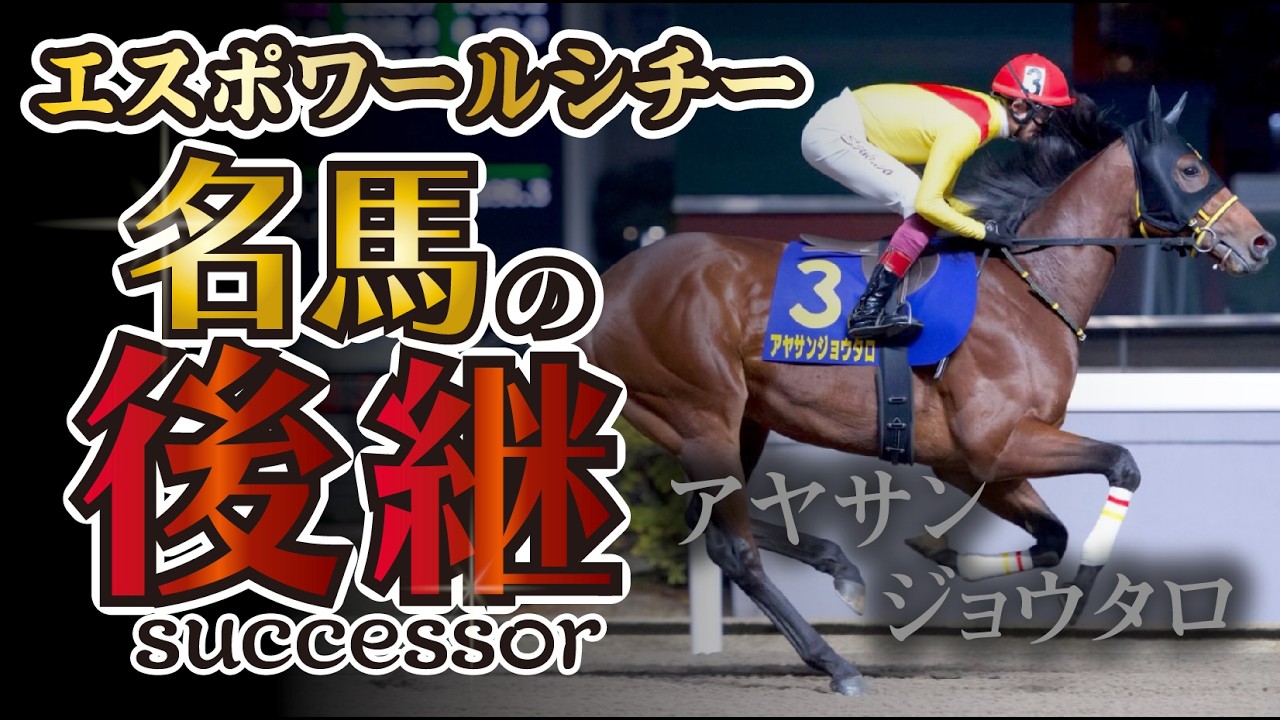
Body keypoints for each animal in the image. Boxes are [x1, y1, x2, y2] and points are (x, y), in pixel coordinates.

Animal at [579, 87, 1275, 696]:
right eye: (1189, 167)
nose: (1261, 241)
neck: (1026, 283)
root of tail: (612, 282)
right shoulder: (998, 441)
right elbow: (1124, 465)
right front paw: (1084, 592)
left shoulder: (972, 462)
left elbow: (1050, 537)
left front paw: (937, 551)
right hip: (702, 415)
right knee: (735, 548)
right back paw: (837, 665)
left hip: (739, 421)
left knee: (719, 528)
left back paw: (840, 571)